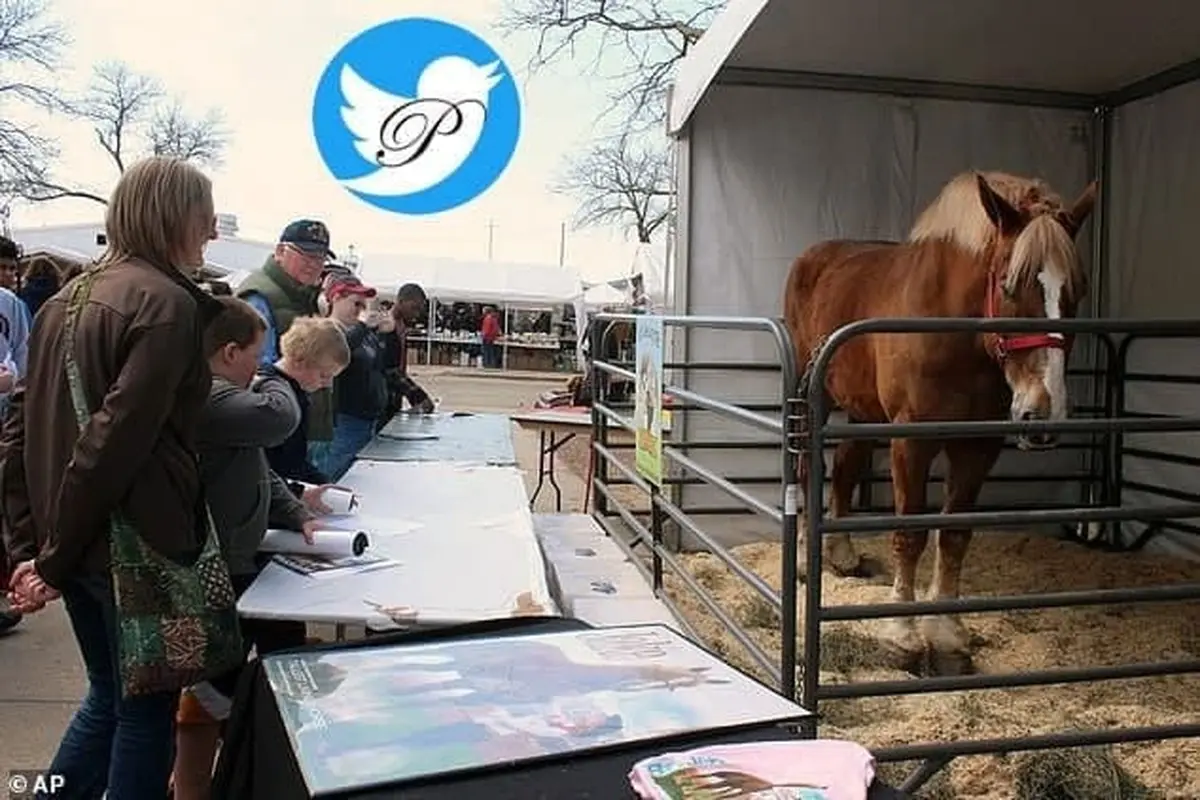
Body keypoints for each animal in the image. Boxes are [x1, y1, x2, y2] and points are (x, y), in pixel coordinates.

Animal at [782, 172, 1099, 666]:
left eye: (1077, 291)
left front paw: (947, 631)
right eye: (1008, 284)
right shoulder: (912, 443)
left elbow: (954, 535)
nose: (1042, 411)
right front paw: (902, 634)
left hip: (863, 410)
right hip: (810, 397)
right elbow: (909, 535)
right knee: (806, 469)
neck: (954, 334)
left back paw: (842, 553)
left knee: (848, 463)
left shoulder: (978, 447)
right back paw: (801, 559)